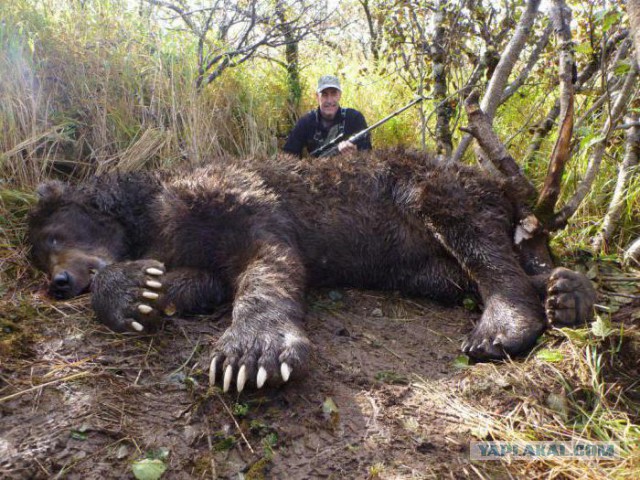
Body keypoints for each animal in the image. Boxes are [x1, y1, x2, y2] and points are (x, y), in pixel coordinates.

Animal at [27, 149, 596, 393]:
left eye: (54, 236)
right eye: (39, 254)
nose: (58, 283)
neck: (153, 211)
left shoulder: (241, 198)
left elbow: (269, 262)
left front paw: (252, 354)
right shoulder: (190, 249)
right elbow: (194, 281)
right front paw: (136, 292)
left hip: (433, 186)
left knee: (478, 241)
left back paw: (505, 324)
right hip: (418, 264)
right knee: (457, 273)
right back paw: (566, 292)